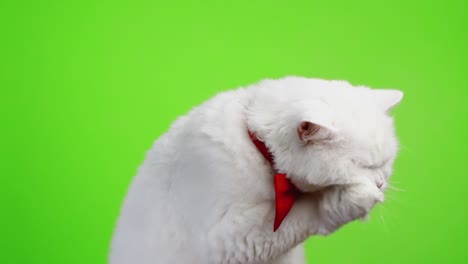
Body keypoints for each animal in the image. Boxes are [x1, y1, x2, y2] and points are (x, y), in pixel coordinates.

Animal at [109, 76, 402, 264]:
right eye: (362, 166)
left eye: (386, 163)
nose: (380, 183)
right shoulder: (225, 239)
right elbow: (307, 213)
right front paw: (355, 198)